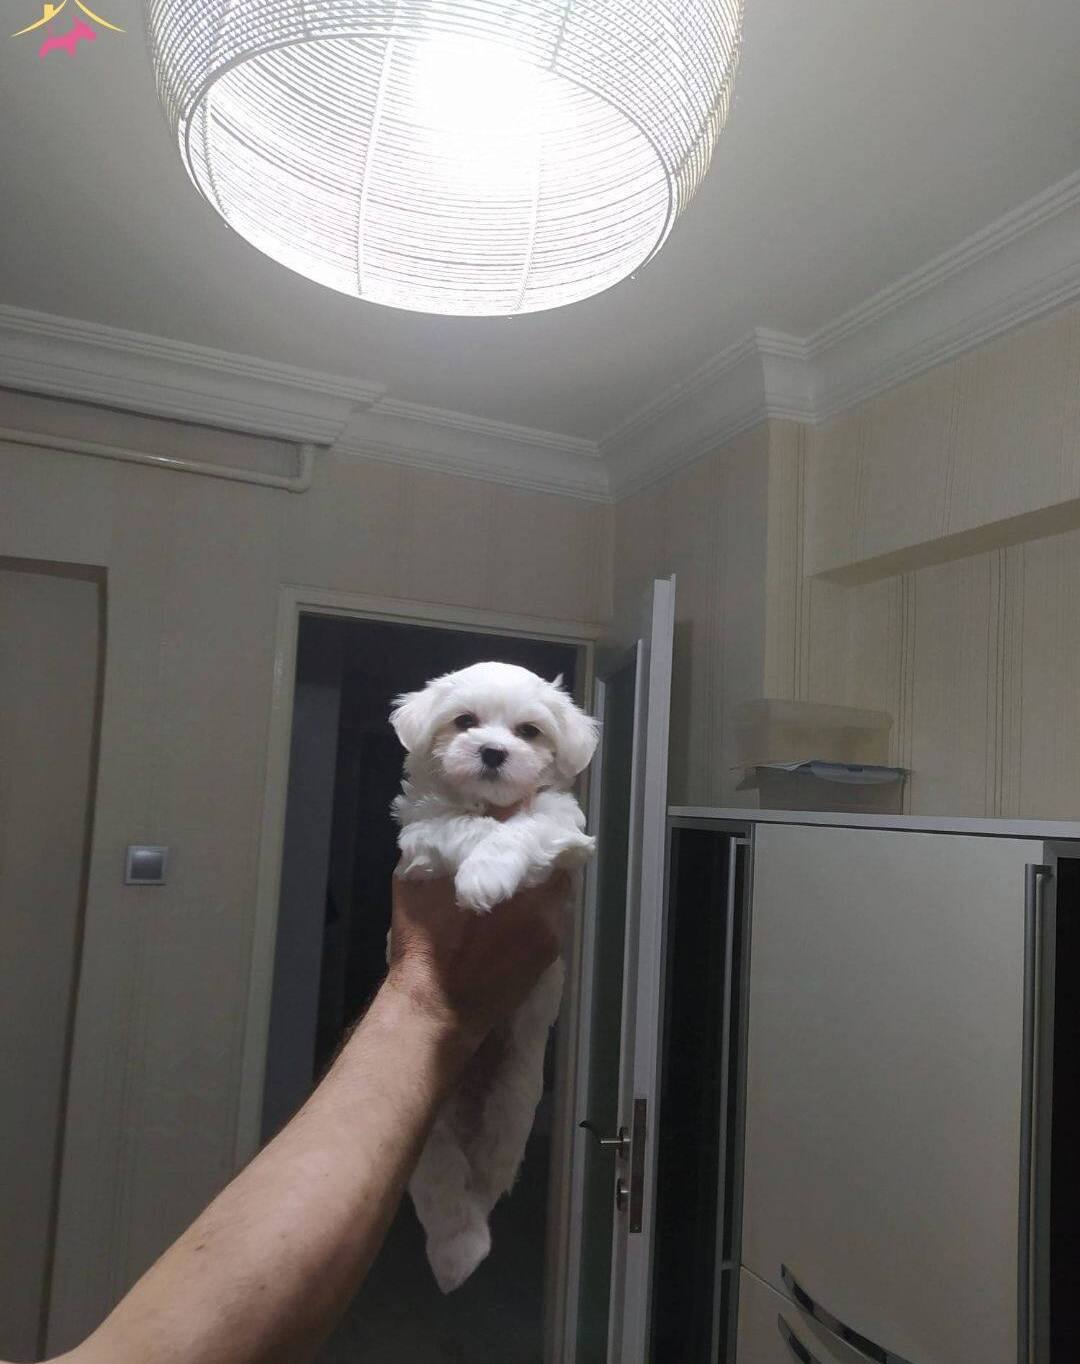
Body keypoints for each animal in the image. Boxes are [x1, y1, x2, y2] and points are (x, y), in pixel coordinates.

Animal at [390, 661, 599, 1292]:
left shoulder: (560, 831)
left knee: (485, 1179)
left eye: (528, 732)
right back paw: (456, 1255)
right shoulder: (422, 838)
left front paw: (487, 875)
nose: (492, 752)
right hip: (424, 1132)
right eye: (465, 722)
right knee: (444, 1188)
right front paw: (478, 867)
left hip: (512, 1106)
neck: (489, 806)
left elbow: (521, 830)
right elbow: (459, 826)